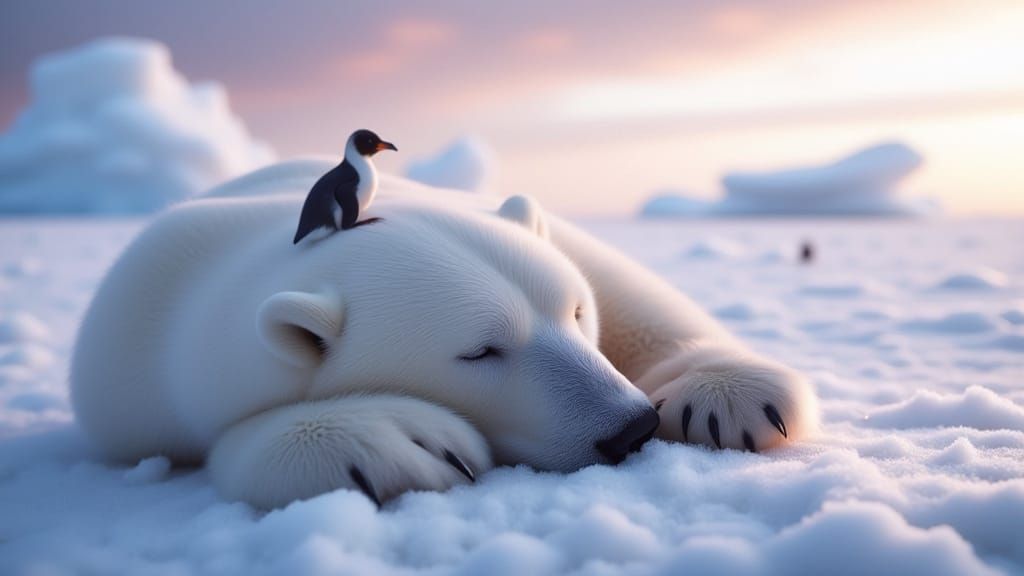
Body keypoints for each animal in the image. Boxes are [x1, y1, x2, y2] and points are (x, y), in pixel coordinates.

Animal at [70, 160, 818, 508]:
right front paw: (408, 443)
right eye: (480, 351)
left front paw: (726, 395)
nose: (629, 428)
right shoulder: (130, 379)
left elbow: (626, 287)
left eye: (576, 312)